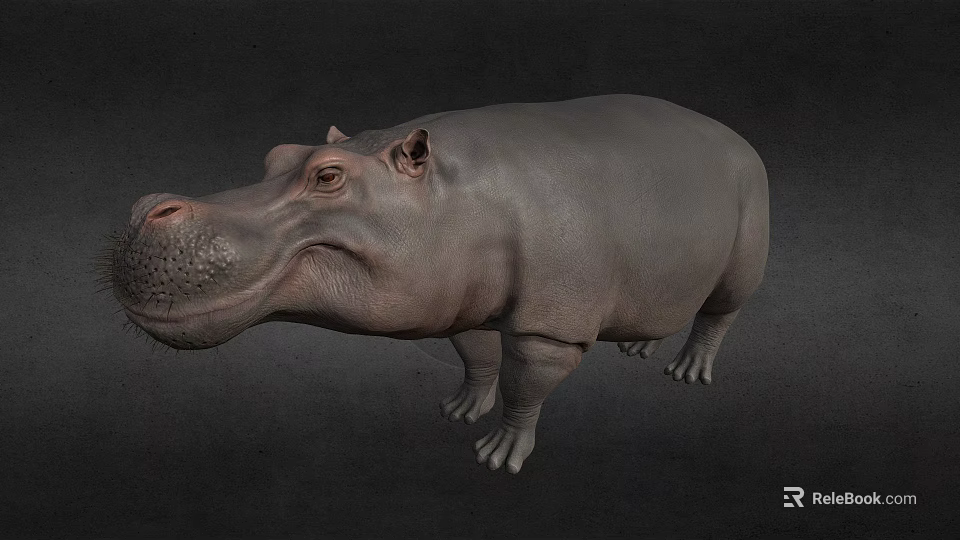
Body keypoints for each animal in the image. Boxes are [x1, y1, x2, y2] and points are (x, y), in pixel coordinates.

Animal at [107, 94, 769, 474]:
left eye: (328, 176)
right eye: (278, 151)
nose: (148, 208)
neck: (452, 192)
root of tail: (735, 135)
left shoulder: (546, 327)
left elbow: (526, 387)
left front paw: (499, 456)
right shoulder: (461, 296)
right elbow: (477, 356)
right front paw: (460, 410)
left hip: (744, 254)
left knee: (719, 314)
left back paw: (687, 372)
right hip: (668, 266)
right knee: (666, 302)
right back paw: (639, 346)